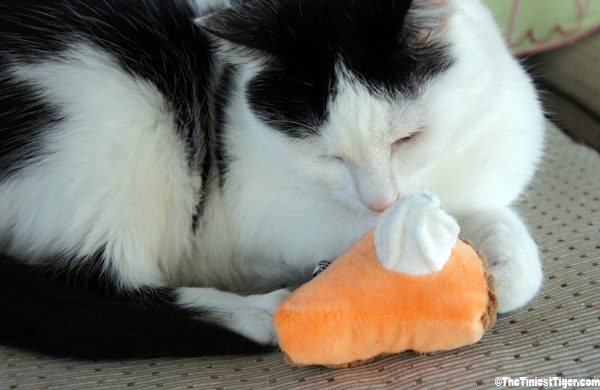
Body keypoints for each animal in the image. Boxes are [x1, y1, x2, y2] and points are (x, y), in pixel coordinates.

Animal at [0, 0, 544, 360]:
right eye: (328, 156)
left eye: (407, 138)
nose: (379, 201)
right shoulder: (263, 214)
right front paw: (418, 242)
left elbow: (497, 225)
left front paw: (504, 268)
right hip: (118, 114)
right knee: (97, 282)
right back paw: (259, 314)